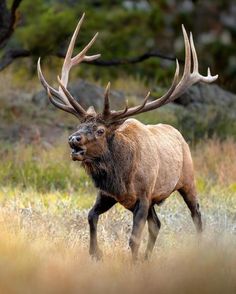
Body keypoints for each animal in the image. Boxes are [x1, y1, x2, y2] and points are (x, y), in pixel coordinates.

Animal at [37, 14, 218, 262]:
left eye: (100, 131)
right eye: (79, 125)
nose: (74, 140)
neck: (122, 175)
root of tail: (180, 136)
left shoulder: (143, 195)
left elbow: (133, 239)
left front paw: (131, 264)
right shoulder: (109, 194)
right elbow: (91, 216)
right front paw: (96, 253)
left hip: (188, 179)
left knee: (197, 214)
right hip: (152, 200)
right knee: (157, 224)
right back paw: (147, 258)